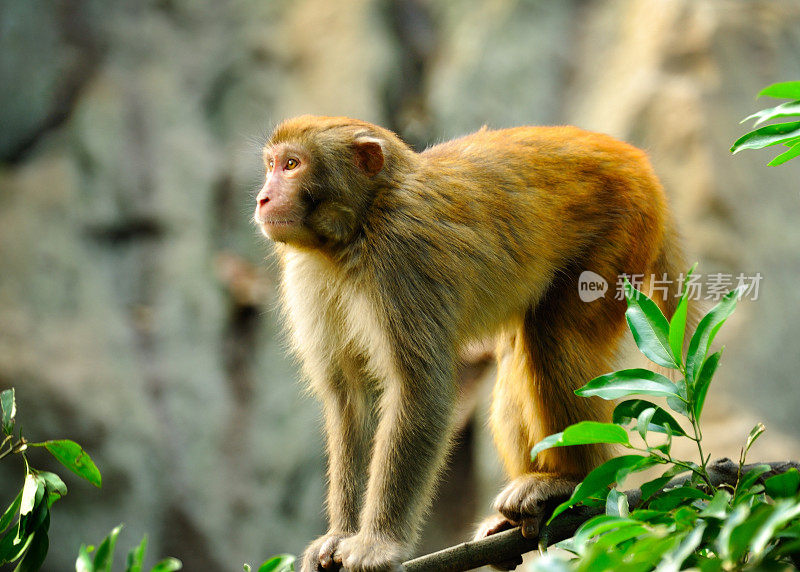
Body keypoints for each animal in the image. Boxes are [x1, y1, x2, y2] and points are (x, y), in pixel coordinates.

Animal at [253, 114, 684, 568]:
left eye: (292, 165)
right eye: (271, 165)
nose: (263, 198)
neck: (354, 232)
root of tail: (638, 163)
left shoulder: (400, 257)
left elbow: (420, 391)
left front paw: (378, 544)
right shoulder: (309, 274)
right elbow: (351, 397)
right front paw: (338, 536)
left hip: (621, 233)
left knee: (554, 335)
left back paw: (571, 480)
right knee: (521, 345)